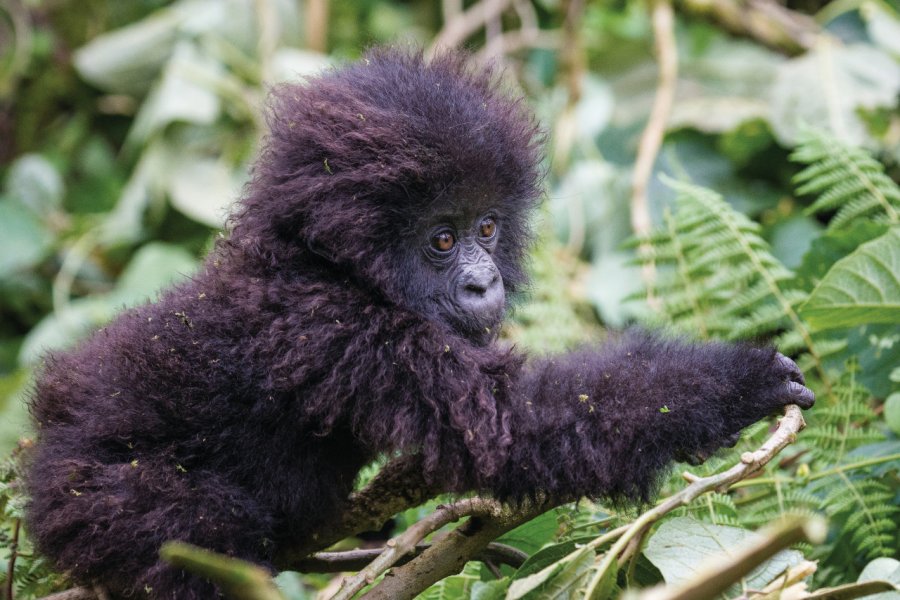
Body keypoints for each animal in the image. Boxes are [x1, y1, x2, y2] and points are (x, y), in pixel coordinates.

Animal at [26, 49, 816, 596]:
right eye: (441, 239)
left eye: (488, 228)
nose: (483, 281)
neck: (319, 263)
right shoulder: (342, 332)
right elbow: (514, 421)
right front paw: (738, 382)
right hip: (88, 493)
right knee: (197, 535)